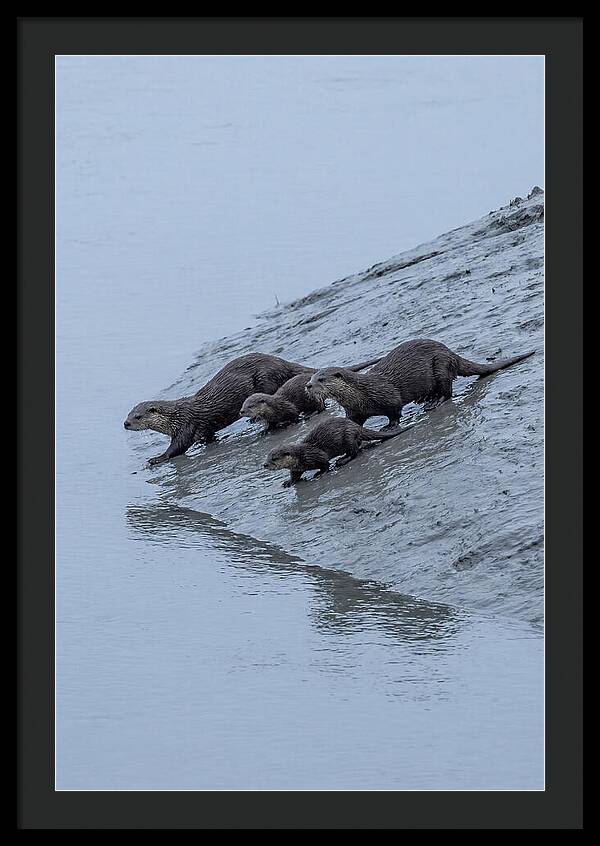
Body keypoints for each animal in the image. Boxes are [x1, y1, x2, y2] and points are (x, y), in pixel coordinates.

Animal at [239, 356, 381, 431]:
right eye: (243, 405)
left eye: (250, 406)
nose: (241, 411)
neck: (274, 407)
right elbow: (270, 424)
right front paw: (266, 430)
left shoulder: (288, 407)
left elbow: (294, 414)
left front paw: (293, 421)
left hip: (314, 398)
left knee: (321, 407)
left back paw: (311, 413)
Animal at [263, 417, 406, 486]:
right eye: (267, 457)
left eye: (274, 458)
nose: (264, 465)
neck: (301, 456)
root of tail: (355, 426)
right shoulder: (296, 468)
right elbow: (295, 476)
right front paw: (289, 482)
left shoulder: (317, 455)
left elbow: (325, 464)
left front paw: (319, 474)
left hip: (348, 436)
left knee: (354, 451)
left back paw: (342, 460)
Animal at [306, 339, 535, 428]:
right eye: (311, 378)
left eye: (321, 379)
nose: (308, 386)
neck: (361, 394)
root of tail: (450, 352)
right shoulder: (354, 411)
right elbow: (353, 423)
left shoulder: (388, 396)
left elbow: (395, 411)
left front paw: (390, 426)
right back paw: (426, 398)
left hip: (440, 365)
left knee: (447, 390)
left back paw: (434, 402)